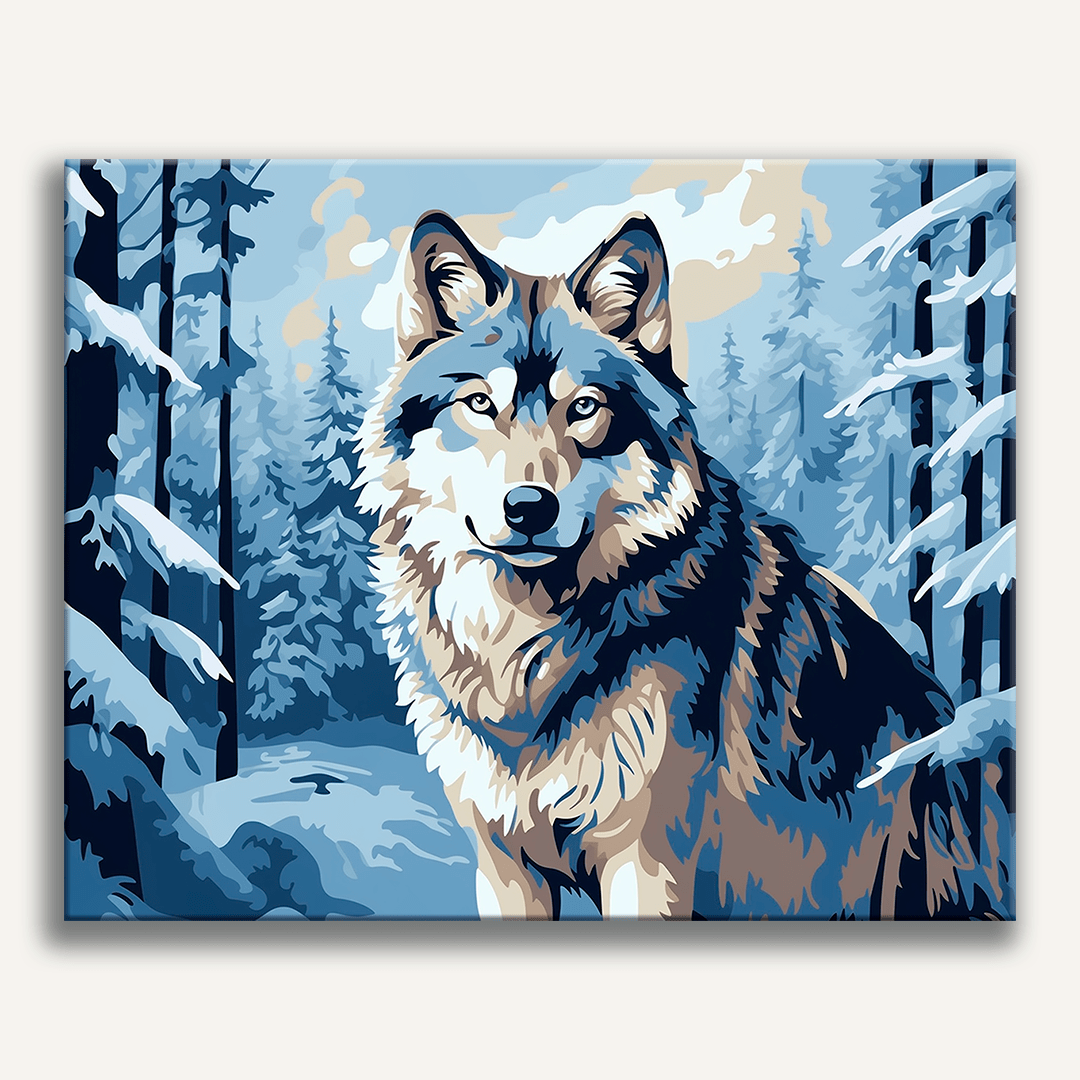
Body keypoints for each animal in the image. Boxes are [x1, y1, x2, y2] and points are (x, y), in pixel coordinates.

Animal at [355, 210, 1010, 919]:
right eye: (478, 405)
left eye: (583, 407)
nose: (529, 507)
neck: (529, 648)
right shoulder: (504, 864)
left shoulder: (645, 860)